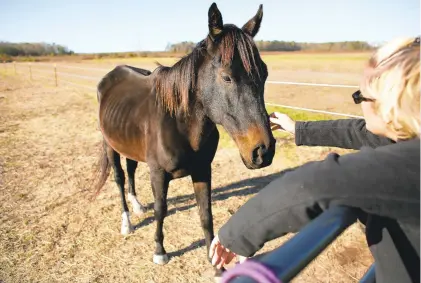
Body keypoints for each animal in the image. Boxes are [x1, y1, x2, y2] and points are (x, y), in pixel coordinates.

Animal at [91, 2, 274, 278]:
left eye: (264, 74)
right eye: (226, 77)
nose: (263, 151)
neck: (179, 123)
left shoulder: (202, 170)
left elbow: (205, 215)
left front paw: (216, 265)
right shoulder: (158, 173)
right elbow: (161, 209)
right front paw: (159, 251)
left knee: (131, 169)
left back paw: (137, 206)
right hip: (109, 145)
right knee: (120, 178)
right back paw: (127, 222)